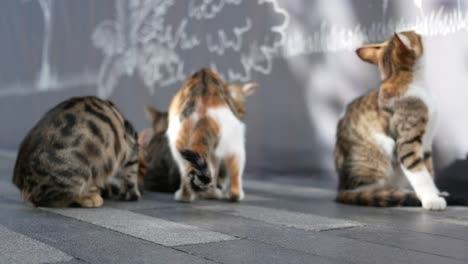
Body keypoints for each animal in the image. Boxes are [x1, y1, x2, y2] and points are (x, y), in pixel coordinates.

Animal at [12, 96, 145, 207]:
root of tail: (19, 180)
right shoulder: (131, 145)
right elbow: (131, 174)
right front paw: (131, 193)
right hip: (79, 170)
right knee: (46, 198)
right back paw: (89, 197)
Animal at [166, 68, 258, 202]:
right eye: (242, 110)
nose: (241, 115)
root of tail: (203, 113)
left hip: (179, 145)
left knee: (187, 173)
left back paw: (184, 196)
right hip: (236, 146)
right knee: (234, 178)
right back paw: (228, 194)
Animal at [334, 30, 462, 210]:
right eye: (414, 34)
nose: (421, 33)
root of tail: (341, 189)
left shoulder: (426, 145)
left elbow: (429, 170)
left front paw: (436, 193)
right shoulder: (407, 140)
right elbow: (419, 172)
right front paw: (431, 199)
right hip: (376, 160)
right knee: (370, 190)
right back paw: (400, 193)